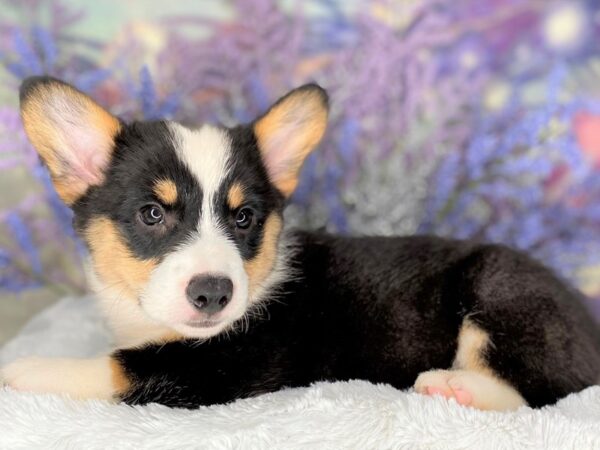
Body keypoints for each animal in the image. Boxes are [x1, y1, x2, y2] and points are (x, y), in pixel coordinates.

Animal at [2, 77, 596, 412]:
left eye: (244, 218)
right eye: (152, 214)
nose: (213, 294)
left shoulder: (219, 368)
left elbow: (111, 368)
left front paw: (19, 369)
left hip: (501, 292)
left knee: (537, 392)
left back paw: (454, 388)